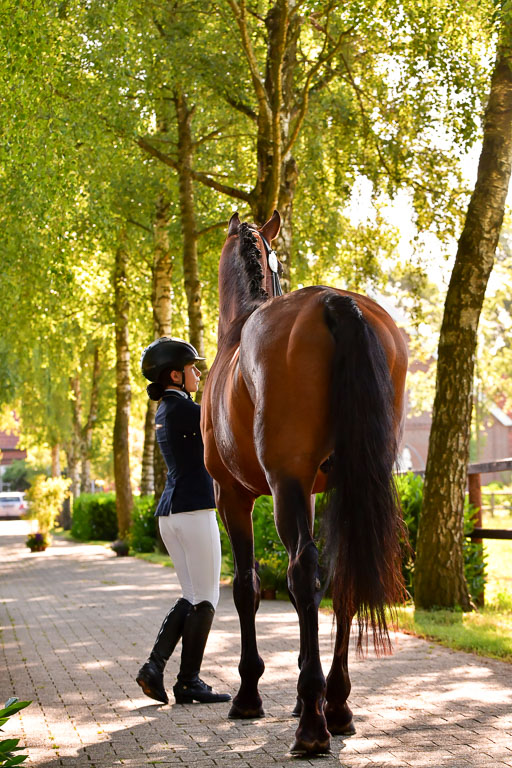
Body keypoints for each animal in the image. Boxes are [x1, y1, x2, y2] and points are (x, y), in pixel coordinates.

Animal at [201, 210, 408, 755]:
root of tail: (334, 301)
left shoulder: (235, 497)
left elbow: (248, 587)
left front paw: (250, 694)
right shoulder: (313, 494)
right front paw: (299, 694)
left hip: (284, 483)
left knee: (303, 571)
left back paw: (313, 726)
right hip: (350, 481)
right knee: (341, 575)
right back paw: (336, 705)